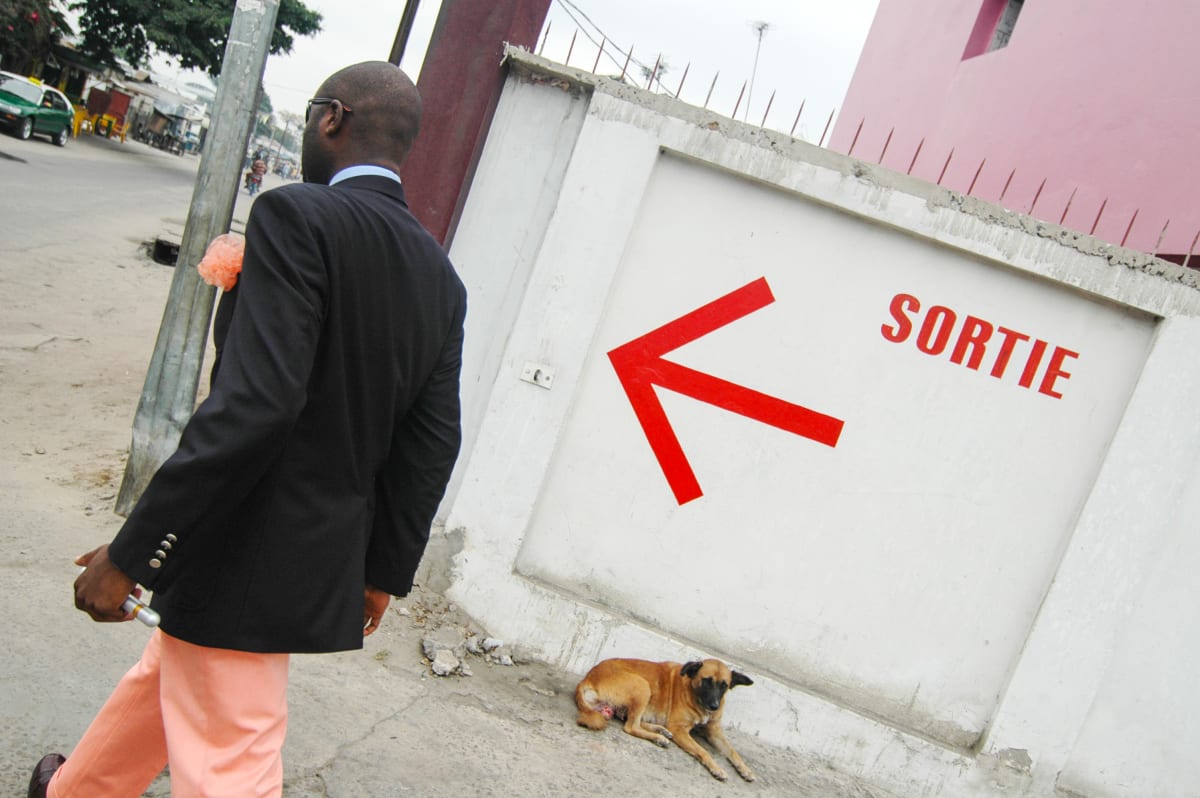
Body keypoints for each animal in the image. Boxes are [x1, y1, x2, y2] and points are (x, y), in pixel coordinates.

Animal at [573, 657, 758, 782]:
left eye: (724, 685)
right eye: (706, 681)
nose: (714, 706)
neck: (692, 691)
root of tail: (587, 679)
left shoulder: (714, 731)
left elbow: (733, 751)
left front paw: (746, 769)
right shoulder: (679, 729)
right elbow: (703, 751)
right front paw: (716, 768)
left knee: (633, 721)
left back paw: (660, 730)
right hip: (642, 686)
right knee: (631, 727)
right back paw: (658, 737)